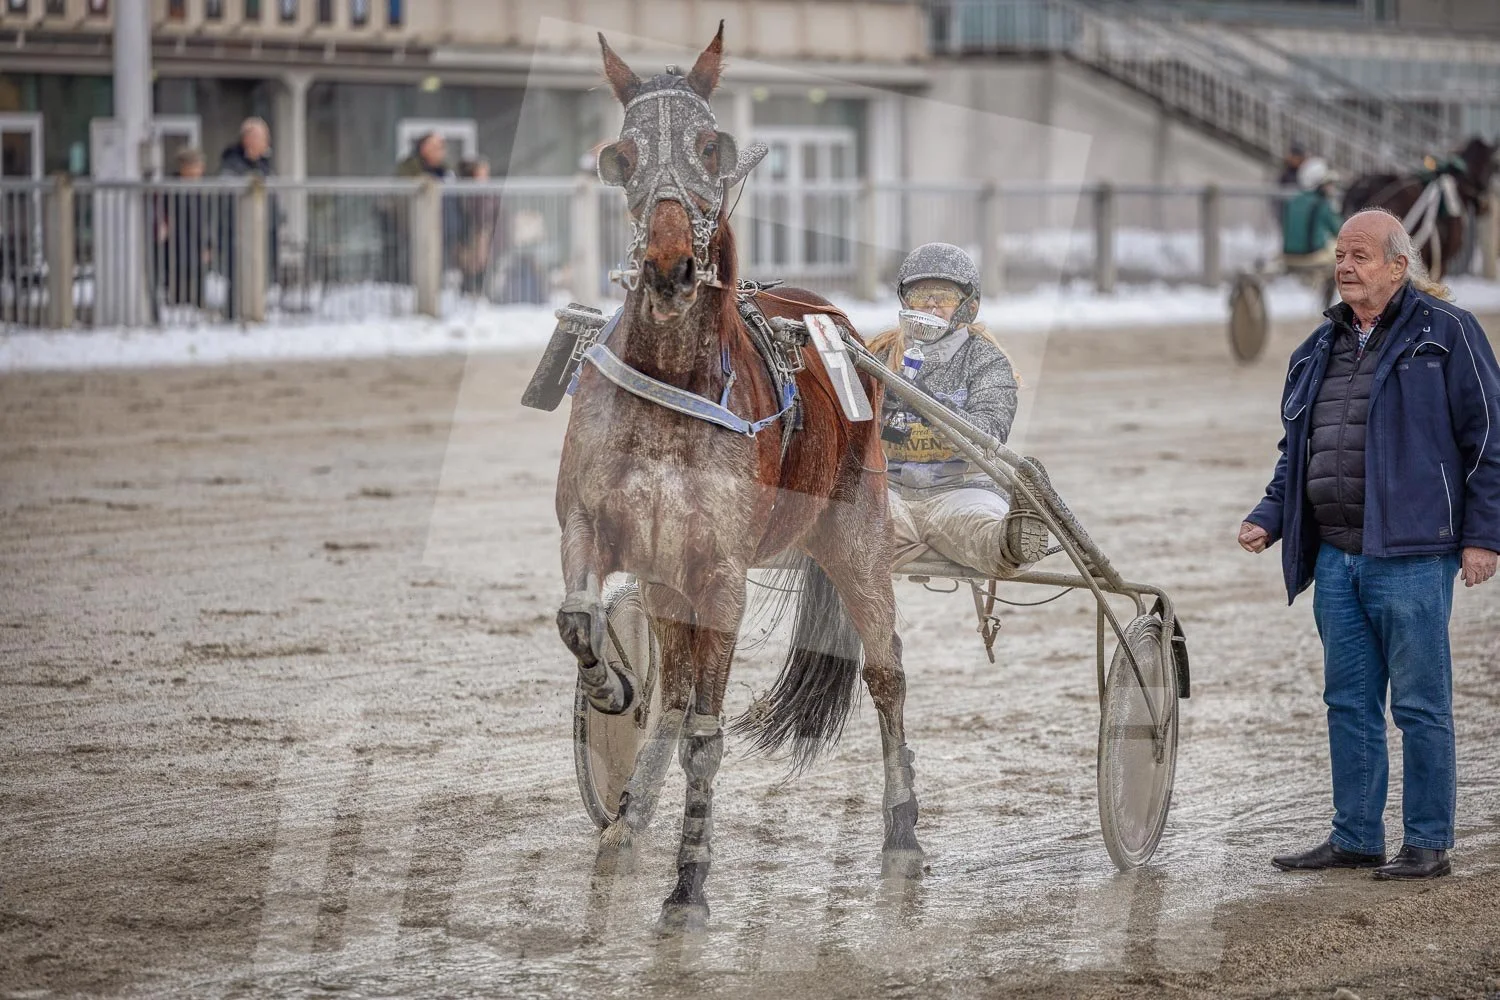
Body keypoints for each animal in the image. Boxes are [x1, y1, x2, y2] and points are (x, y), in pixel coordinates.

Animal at [553, 24, 922, 931]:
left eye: (711, 147)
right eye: (623, 154)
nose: (670, 266)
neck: (673, 381)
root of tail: (831, 317)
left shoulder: (719, 574)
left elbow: (707, 735)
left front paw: (689, 884)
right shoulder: (602, 531)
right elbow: (582, 625)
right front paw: (613, 689)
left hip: (855, 533)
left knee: (887, 673)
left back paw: (902, 833)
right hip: (671, 580)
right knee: (675, 690)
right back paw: (629, 817)